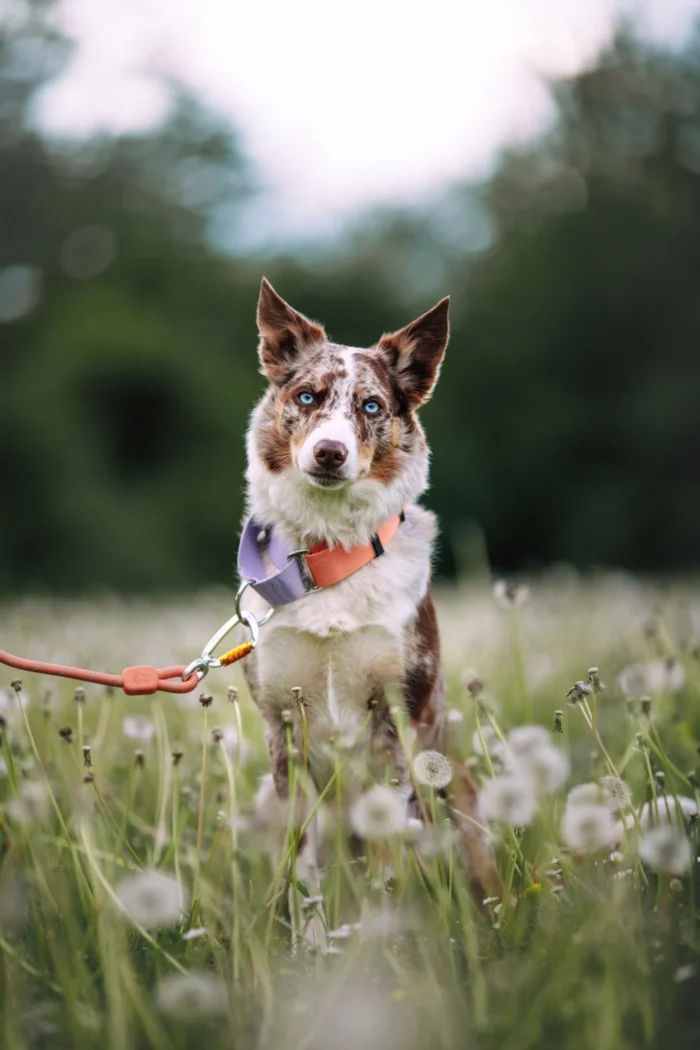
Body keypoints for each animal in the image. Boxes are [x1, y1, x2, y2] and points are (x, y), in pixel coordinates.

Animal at [238, 277, 501, 944]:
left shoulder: (394, 718)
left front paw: (388, 939)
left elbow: (388, 860)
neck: (327, 556)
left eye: (373, 406)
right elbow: (303, 866)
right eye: (307, 396)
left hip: (456, 796)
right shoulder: (284, 728)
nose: (330, 453)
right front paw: (309, 948)